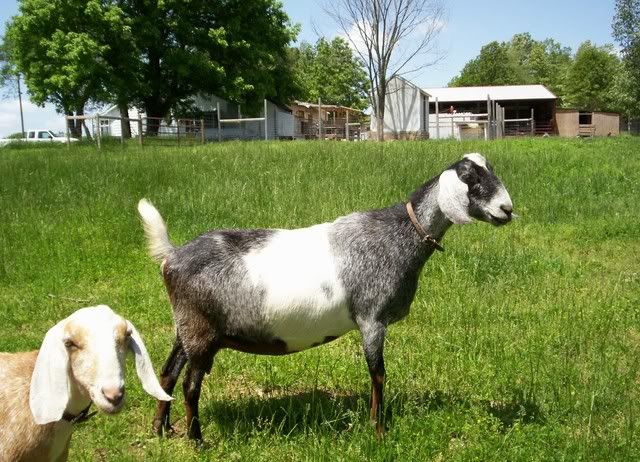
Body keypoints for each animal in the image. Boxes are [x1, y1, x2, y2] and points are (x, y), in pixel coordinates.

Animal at [137, 153, 514, 439]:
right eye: (471, 177)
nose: (507, 209)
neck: (398, 235)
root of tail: (172, 256)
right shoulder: (372, 318)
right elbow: (378, 374)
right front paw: (378, 430)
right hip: (201, 332)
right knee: (190, 385)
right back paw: (197, 440)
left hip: (186, 328)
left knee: (168, 372)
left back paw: (160, 428)